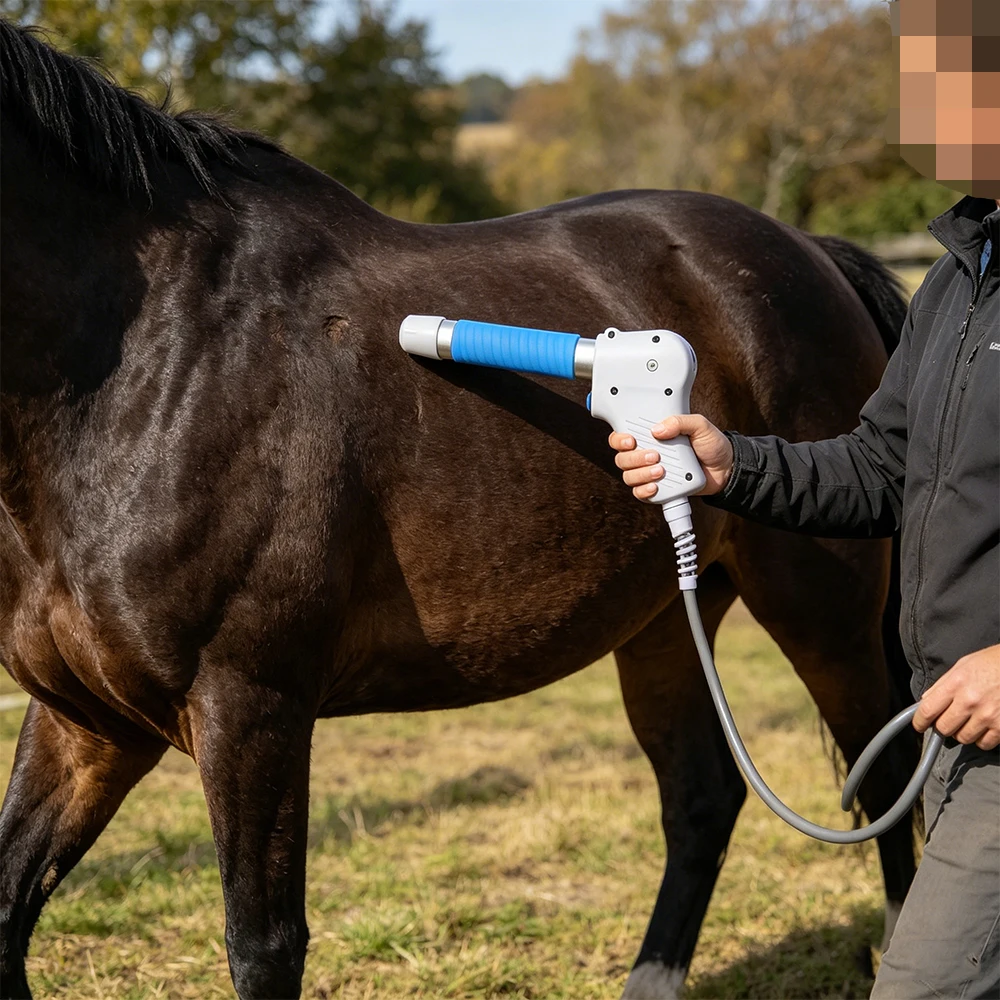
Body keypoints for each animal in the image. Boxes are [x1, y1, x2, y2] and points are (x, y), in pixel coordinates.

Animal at [0, 21, 918, 1000]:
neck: (153, 360)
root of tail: (811, 252)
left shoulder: (251, 708)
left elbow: (264, 945)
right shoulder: (88, 719)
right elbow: (10, 903)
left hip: (821, 604)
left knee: (885, 775)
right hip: (669, 618)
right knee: (703, 799)